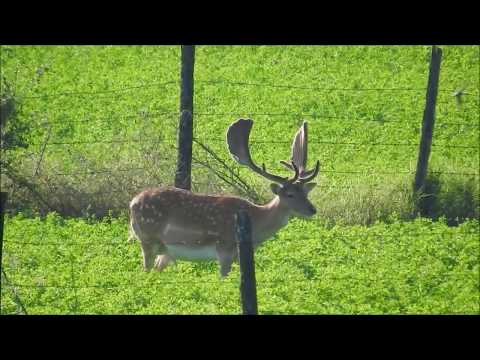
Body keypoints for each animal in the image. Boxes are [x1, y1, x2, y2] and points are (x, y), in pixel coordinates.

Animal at [129, 118, 320, 278]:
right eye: (290, 194)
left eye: (305, 193)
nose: (312, 209)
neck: (255, 222)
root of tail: (132, 203)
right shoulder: (224, 250)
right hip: (147, 238)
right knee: (145, 268)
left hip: (165, 251)